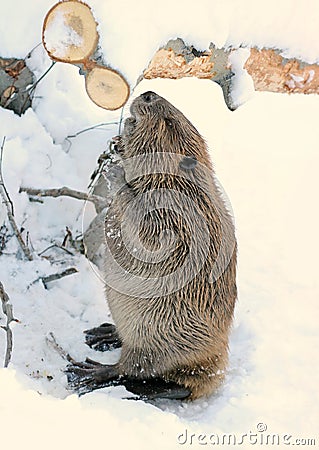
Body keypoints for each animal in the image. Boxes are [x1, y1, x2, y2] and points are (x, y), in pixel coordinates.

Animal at [66, 89, 238, 400]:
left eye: (169, 122)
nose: (148, 94)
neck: (177, 179)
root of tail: (211, 372)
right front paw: (117, 146)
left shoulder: (179, 215)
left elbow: (149, 234)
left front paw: (116, 171)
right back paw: (102, 333)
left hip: (158, 338)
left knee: (133, 369)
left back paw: (87, 371)